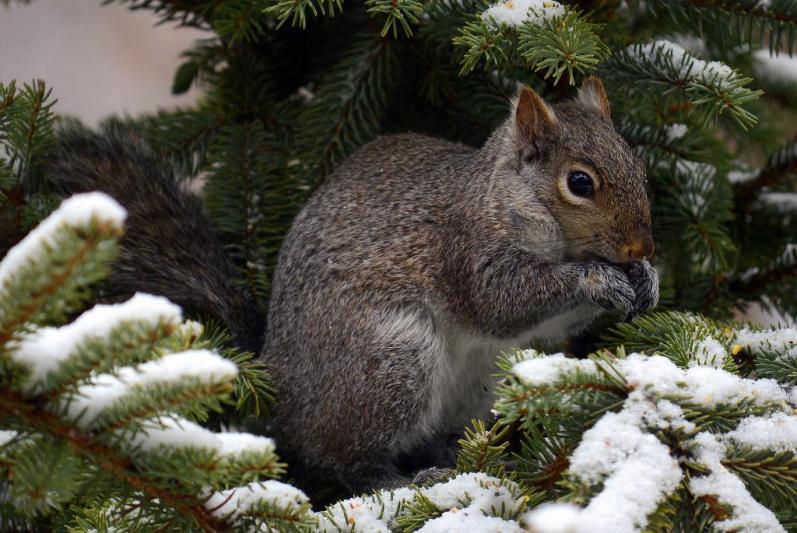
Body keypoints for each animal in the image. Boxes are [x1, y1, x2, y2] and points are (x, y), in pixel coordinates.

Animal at [43, 77, 658, 495]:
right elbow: (503, 303)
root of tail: (279, 392)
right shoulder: (467, 250)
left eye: (639, 166)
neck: (507, 198)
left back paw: (467, 459)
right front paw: (597, 279)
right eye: (580, 183)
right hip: (386, 362)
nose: (641, 249)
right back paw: (402, 482)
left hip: (479, 381)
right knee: (346, 462)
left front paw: (646, 283)